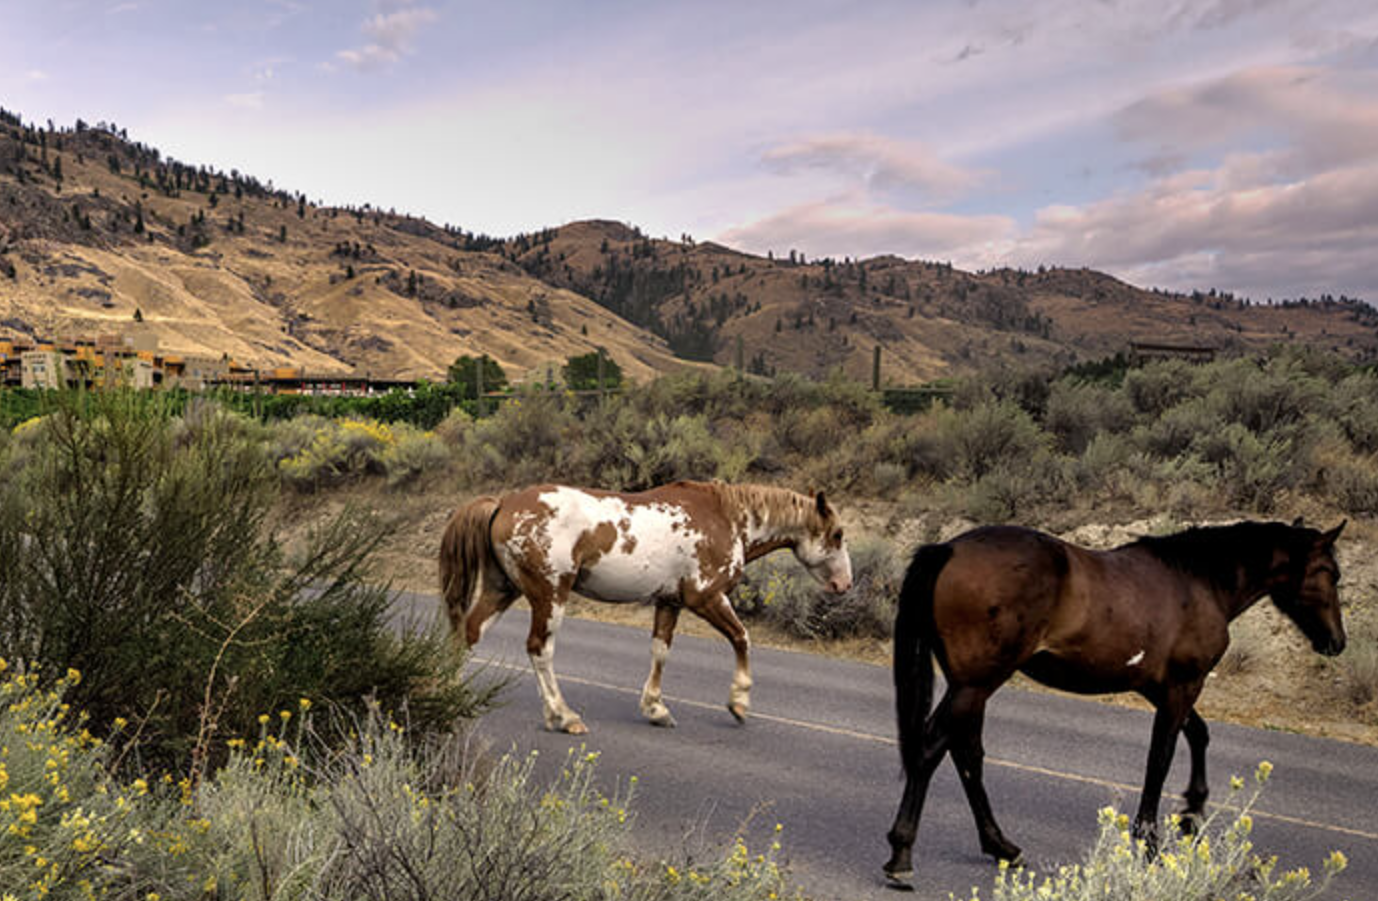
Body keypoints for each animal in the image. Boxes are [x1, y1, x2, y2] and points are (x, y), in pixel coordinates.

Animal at [438, 479, 848, 732]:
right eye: (838, 535)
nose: (844, 584)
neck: (727, 517)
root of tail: (503, 504)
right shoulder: (706, 598)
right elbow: (741, 638)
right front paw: (739, 702)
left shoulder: (669, 602)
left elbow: (660, 651)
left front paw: (656, 708)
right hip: (549, 596)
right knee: (540, 649)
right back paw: (563, 716)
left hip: (503, 590)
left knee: (469, 633)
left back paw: (453, 695)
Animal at [881, 518, 1344, 887]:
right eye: (1330, 572)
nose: (1336, 642)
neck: (1198, 582)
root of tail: (949, 548)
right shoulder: (1182, 686)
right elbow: (1160, 759)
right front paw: (1152, 844)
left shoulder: (1159, 687)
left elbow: (1198, 734)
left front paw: (1191, 812)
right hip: (975, 683)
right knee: (931, 750)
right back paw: (901, 856)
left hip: (970, 685)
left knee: (966, 755)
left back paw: (1002, 847)